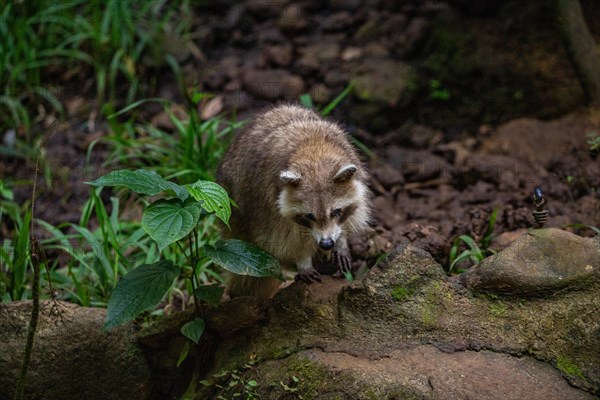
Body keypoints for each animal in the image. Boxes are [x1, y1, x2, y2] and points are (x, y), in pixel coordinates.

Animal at [217, 103, 370, 296]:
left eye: (336, 211)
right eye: (310, 216)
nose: (327, 243)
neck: (315, 153)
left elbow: (347, 221)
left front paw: (341, 242)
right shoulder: (268, 203)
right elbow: (285, 239)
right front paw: (303, 260)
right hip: (236, 210)